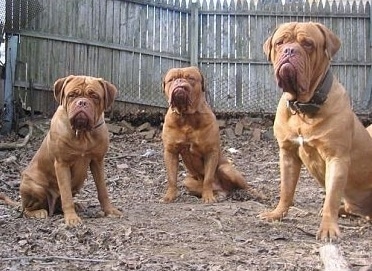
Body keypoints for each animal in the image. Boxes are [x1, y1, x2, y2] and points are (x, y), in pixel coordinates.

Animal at [18, 75, 122, 226]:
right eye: (72, 95)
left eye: (94, 96)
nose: (82, 102)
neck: (82, 133)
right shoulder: (62, 164)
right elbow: (66, 194)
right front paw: (71, 218)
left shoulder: (97, 161)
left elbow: (102, 190)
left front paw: (110, 210)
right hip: (35, 187)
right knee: (26, 210)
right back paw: (38, 212)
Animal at [161, 66, 262, 204]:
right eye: (172, 79)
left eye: (190, 78)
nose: (180, 82)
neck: (187, 117)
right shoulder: (171, 151)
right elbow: (171, 178)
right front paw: (169, 196)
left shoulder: (210, 152)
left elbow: (208, 179)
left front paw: (208, 197)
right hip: (188, 181)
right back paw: (220, 194)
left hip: (227, 169)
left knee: (245, 185)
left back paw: (256, 194)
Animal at [260, 21, 372, 242]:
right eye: (280, 42)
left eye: (308, 44)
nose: (289, 50)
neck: (304, 107)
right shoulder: (287, 154)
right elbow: (286, 190)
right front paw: (277, 214)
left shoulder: (336, 159)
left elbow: (331, 197)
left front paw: (328, 229)